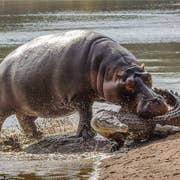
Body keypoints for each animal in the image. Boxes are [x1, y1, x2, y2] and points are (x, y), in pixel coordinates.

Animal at [0, 30, 169, 139]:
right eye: (129, 84)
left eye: (149, 77)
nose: (157, 101)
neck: (105, 69)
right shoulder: (79, 96)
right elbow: (86, 113)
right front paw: (87, 135)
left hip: (29, 108)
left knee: (25, 120)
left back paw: (37, 135)